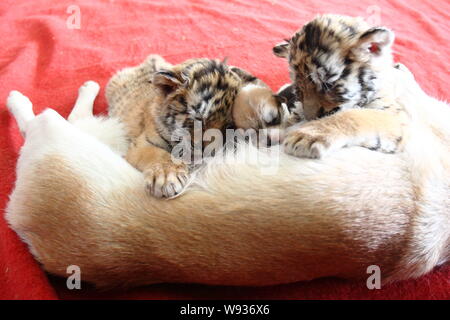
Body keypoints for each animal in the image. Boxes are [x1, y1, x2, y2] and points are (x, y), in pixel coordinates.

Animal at [4, 63, 450, 288]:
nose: (395, 60)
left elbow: (373, 113)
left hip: (73, 135)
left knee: (44, 118)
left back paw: (31, 96)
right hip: (85, 135)